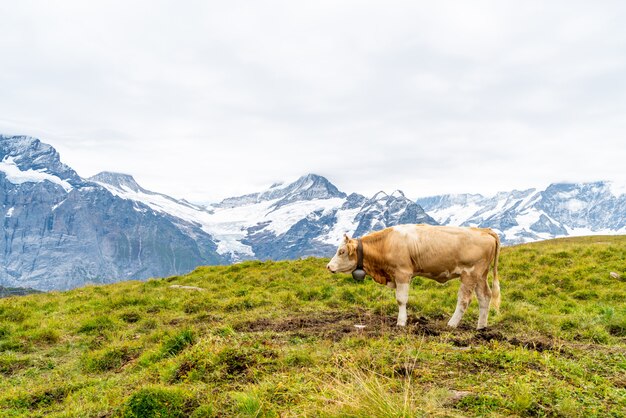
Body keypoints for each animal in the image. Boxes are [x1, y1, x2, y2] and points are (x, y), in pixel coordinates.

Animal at [326, 225, 498, 330]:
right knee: (485, 297)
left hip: (470, 274)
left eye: (341, 251)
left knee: (464, 300)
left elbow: (401, 300)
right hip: (480, 276)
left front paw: (401, 322)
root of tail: (484, 230)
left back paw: (451, 324)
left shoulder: (402, 273)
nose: (328, 266)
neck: (386, 243)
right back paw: (481, 327)